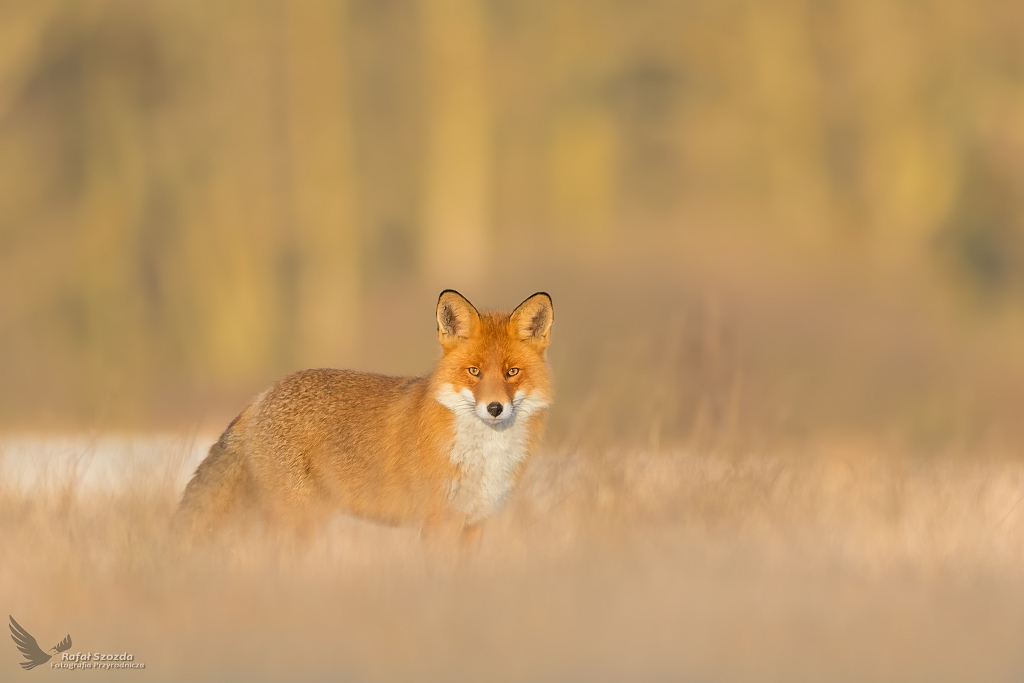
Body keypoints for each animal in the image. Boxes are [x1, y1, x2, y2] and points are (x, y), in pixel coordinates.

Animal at [174, 290, 552, 548]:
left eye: (512, 372)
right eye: (474, 372)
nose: (494, 408)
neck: (484, 456)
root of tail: (264, 393)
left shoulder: (474, 524)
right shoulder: (437, 522)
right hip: (298, 520)